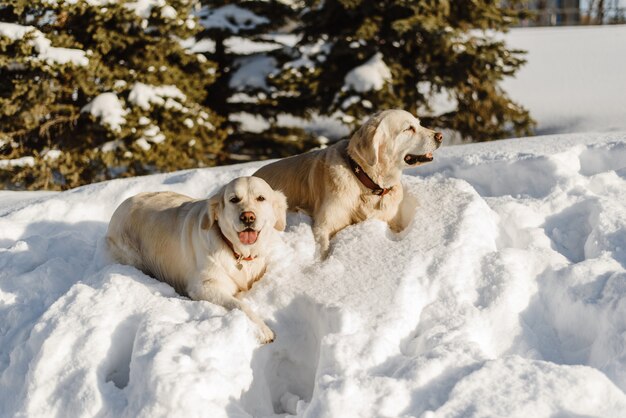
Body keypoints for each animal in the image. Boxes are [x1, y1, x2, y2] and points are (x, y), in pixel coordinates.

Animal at [106, 176, 288, 342]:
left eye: (261, 198)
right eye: (234, 199)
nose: (248, 217)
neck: (239, 253)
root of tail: (123, 203)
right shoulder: (204, 287)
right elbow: (240, 304)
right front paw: (263, 329)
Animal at [252, 108, 438, 255]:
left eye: (419, 124)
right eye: (409, 129)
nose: (440, 136)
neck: (364, 181)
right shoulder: (324, 225)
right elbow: (323, 249)